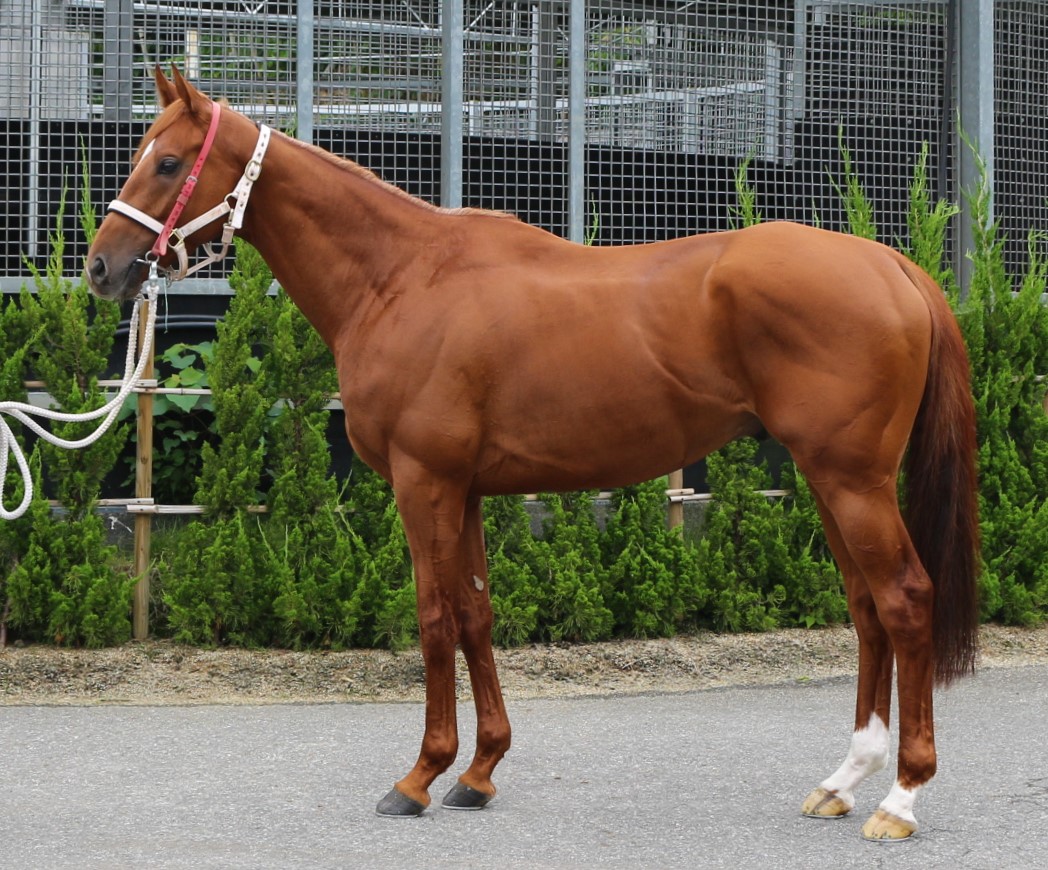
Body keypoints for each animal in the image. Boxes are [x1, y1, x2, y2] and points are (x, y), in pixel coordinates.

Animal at [86, 67, 979, 841]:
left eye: (168, 161)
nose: (102, 267)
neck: (402, 278)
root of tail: (893, 265)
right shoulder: (467, 491)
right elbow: (476, 615)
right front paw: (479, 773)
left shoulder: (424, 483)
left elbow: (434, 619)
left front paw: (421, 776)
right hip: (830, 481)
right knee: (865, 608)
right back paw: (844, 779)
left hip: (853, 481)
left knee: (903, 600)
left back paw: (900, 797)